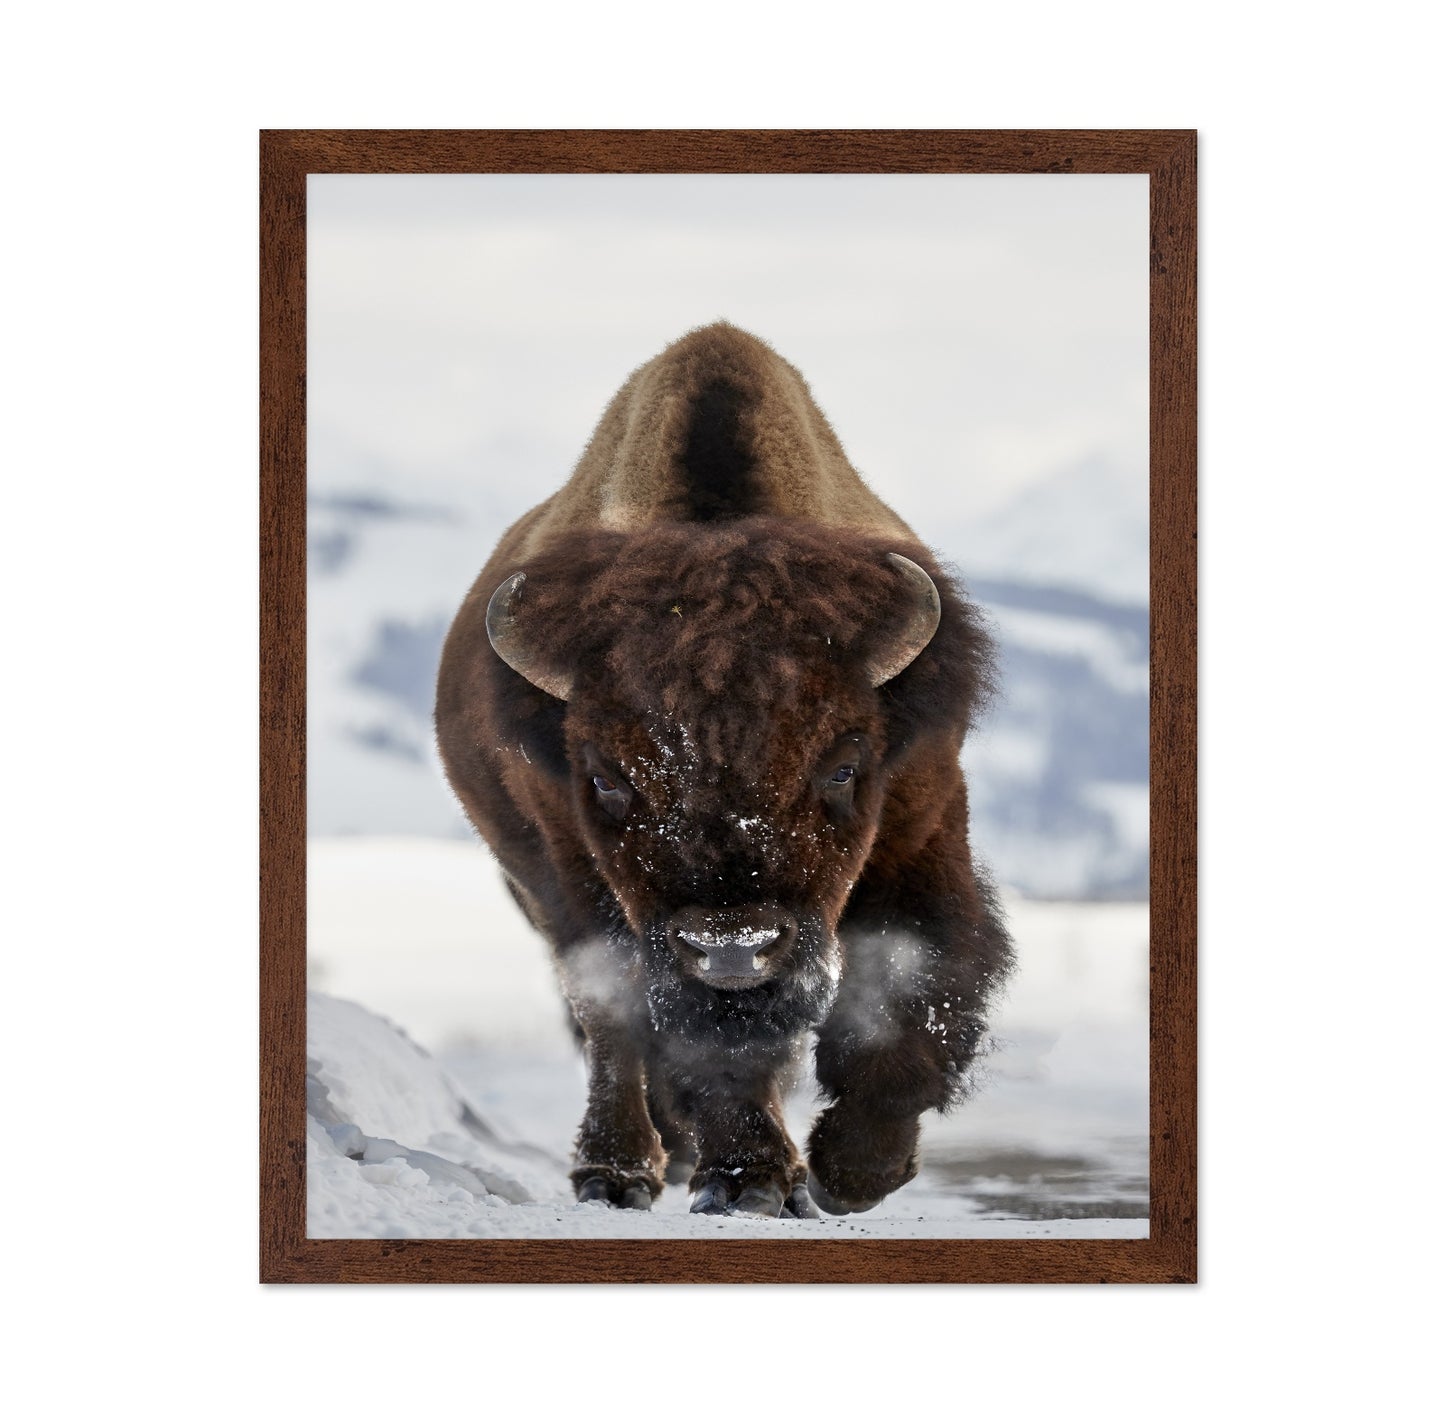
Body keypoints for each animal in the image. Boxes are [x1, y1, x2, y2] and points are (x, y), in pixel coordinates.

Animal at [435, 323, 1013, 1218]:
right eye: (606, 778)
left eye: (844, 765)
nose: (733, 948)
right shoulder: (580, 873)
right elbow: (678, 1034)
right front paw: (748, 1179)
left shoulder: (920, 825)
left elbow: (913, 980)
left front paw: (853, 1171)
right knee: (610, 1023)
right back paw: (619, 1171)